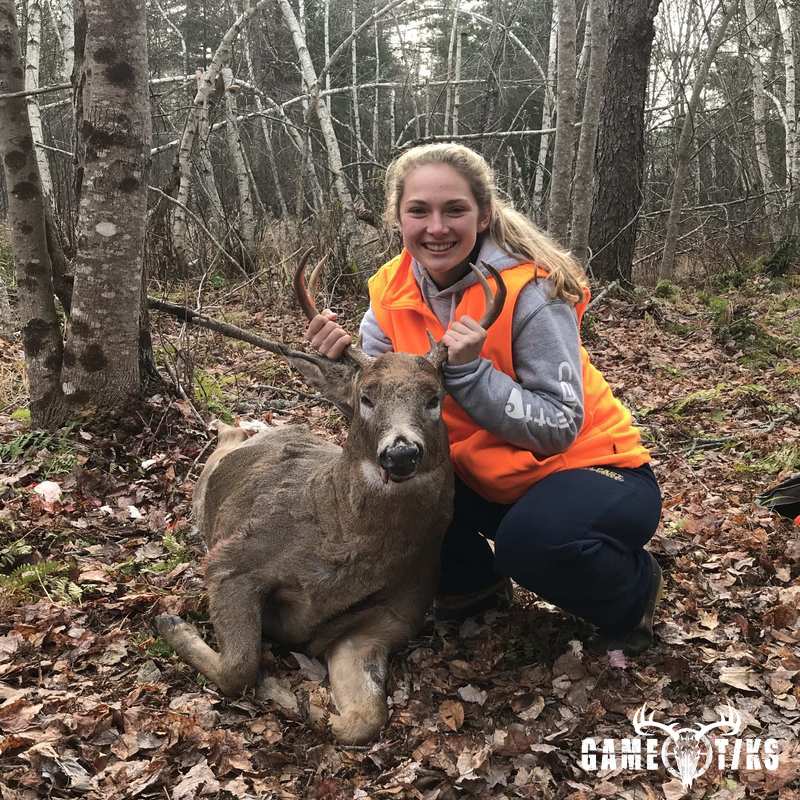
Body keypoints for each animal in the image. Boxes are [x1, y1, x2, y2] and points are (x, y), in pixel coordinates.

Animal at [155, 253, 507, 744]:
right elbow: (239, 667)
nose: (401, 452)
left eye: (434, 398)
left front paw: (305, 705)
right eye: (366, 397)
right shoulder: (234, 559)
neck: (340, 540)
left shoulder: (391, 616)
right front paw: (171, 622)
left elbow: (364, 717)